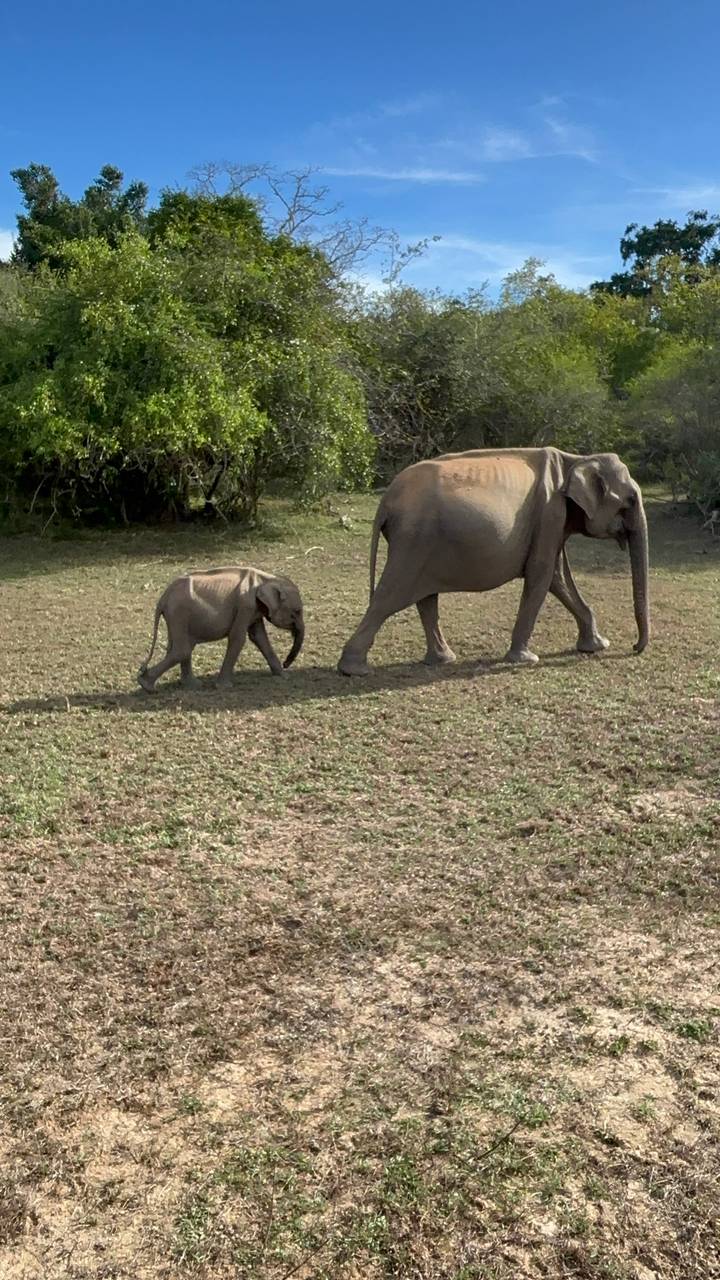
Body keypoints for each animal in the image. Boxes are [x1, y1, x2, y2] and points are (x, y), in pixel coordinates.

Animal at [138, 567, 305, 692]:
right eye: (297, 612)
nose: (286, 663)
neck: (266, 579)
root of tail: (163, 598)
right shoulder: (245, 606)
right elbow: (238, 638)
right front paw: (224, 687)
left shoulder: (254, 609)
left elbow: (259, 637)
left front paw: (284, 676)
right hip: (178, 613)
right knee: (182, 649)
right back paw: (146, 686)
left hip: (176, 616)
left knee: (181, 647)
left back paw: (191, 685)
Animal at [337, 447, 650, 676]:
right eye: (631, 501)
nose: (634, 647)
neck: (575, 459)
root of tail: (386, 500)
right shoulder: (549, 515)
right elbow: (541, 575)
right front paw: (526, 659)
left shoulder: (554, 522)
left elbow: (558, 578)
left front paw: (596, 646)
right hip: (413, 541)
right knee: (389, 597)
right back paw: (354, 670)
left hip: (420, 544)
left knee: (424, 599)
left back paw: (442, 659)